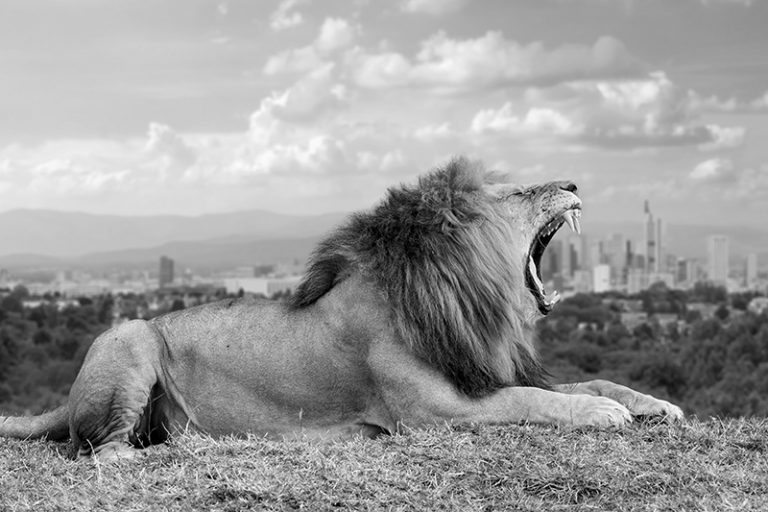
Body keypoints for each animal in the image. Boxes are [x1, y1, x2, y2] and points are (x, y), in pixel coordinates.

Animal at [0, 158, 682, 459]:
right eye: (519, 192)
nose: (571, 182)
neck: (469, 298)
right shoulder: (434, 411)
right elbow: (535, 400)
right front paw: (600, 414)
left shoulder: (482, 372)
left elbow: (593, 379)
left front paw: (654, 405)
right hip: (130, 337)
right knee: (98, 450)